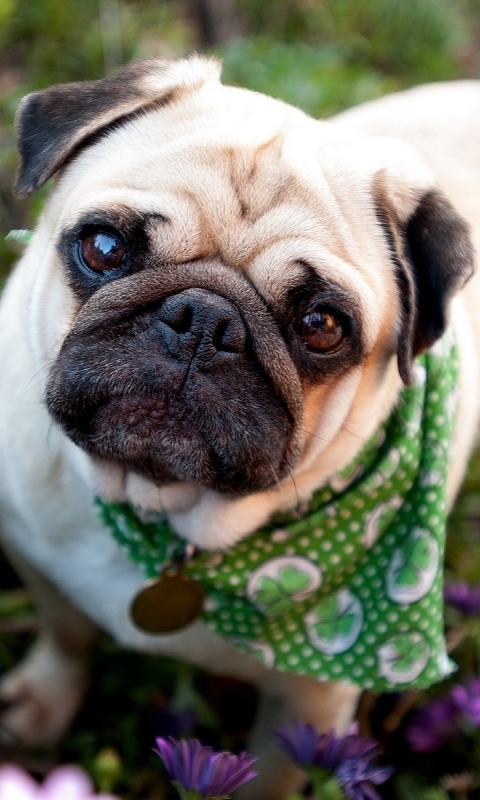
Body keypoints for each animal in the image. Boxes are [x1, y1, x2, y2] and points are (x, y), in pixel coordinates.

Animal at [0, 57, 480, 800]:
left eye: (322, 325)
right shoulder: (33, 552)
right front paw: (42, 704)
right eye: (103, 248)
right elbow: (66, 635)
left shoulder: (309, 704)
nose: (204, 319)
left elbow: (273, 773)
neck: (162, 513)